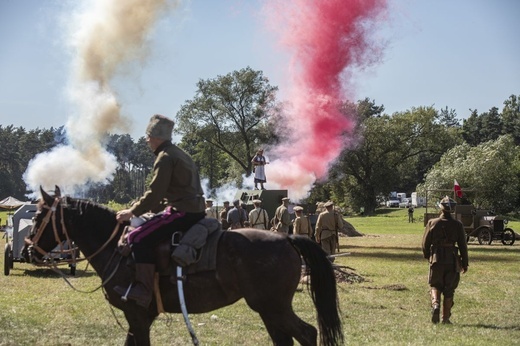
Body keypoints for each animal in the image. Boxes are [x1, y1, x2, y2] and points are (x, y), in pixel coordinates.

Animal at [22, 188, 344, 344]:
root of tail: (286, 238)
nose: (27, 250)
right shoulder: (137, 319)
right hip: (269, 310)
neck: (118, 250)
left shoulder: (138, 317)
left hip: (273, 307)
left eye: (38, 216)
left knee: (307, 334)